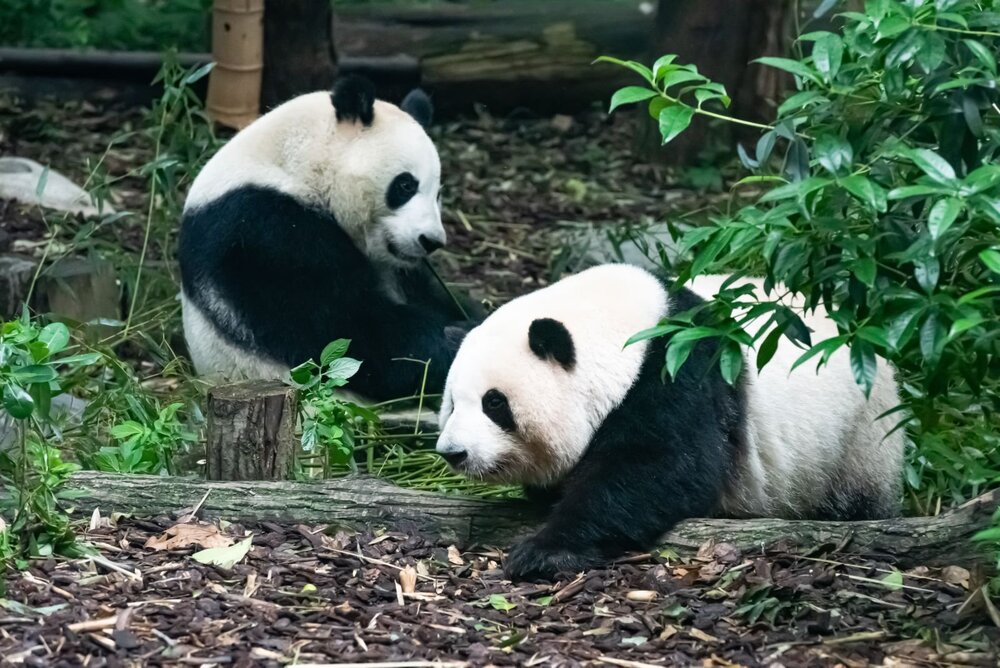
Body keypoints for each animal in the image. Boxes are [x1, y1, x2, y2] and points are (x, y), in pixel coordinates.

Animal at [179, 76, 476, 400]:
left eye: (438, 194)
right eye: (406, 185)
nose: (431, 240)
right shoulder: (263, 230)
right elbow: (344, 331)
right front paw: (454, 340)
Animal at [435, 264, 905, 581]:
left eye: (495, 403)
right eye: (452, 403)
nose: (453, 453)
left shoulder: (681, 369)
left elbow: (662, 466)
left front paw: (543, 552)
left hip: (857, 438)